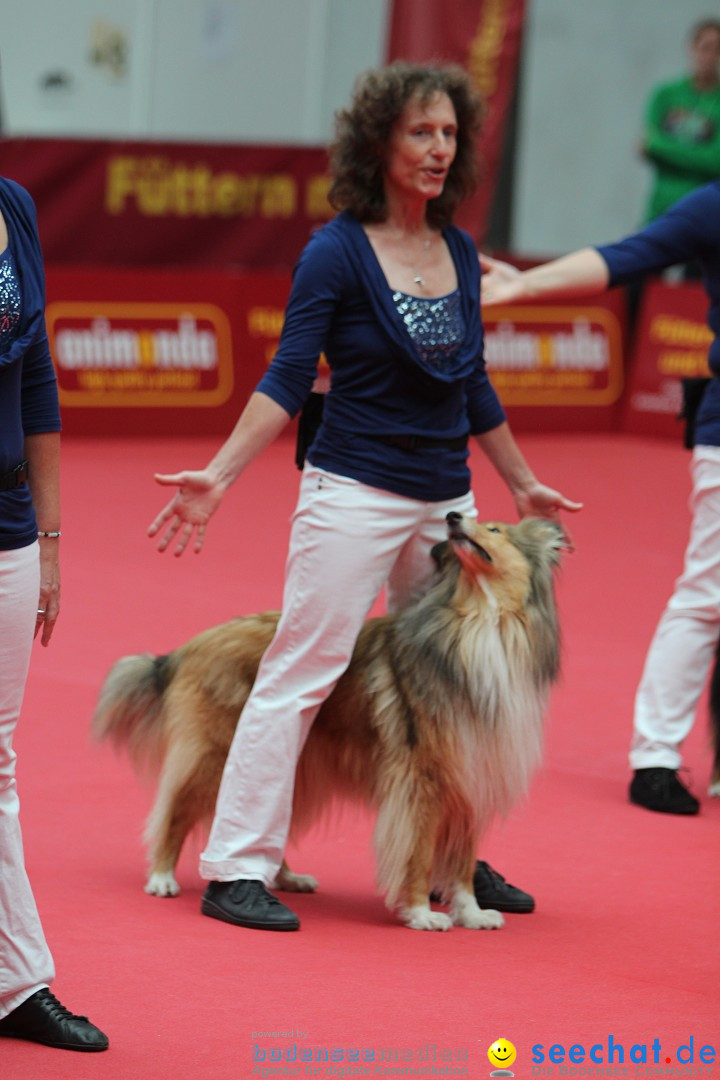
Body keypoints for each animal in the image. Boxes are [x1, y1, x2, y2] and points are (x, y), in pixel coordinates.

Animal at [91, 514, 561, 928]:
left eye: (495, 530)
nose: (452, 516)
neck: (483, 622)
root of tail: (191, 645)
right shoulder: (422, 779)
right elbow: (419, 853)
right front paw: (422, 914)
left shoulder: (473, 772)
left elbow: (461, 863)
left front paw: (473, 913)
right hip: (218, 754)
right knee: (176, 811)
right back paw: (163, 878)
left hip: (292, 761)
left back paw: (285, 878)